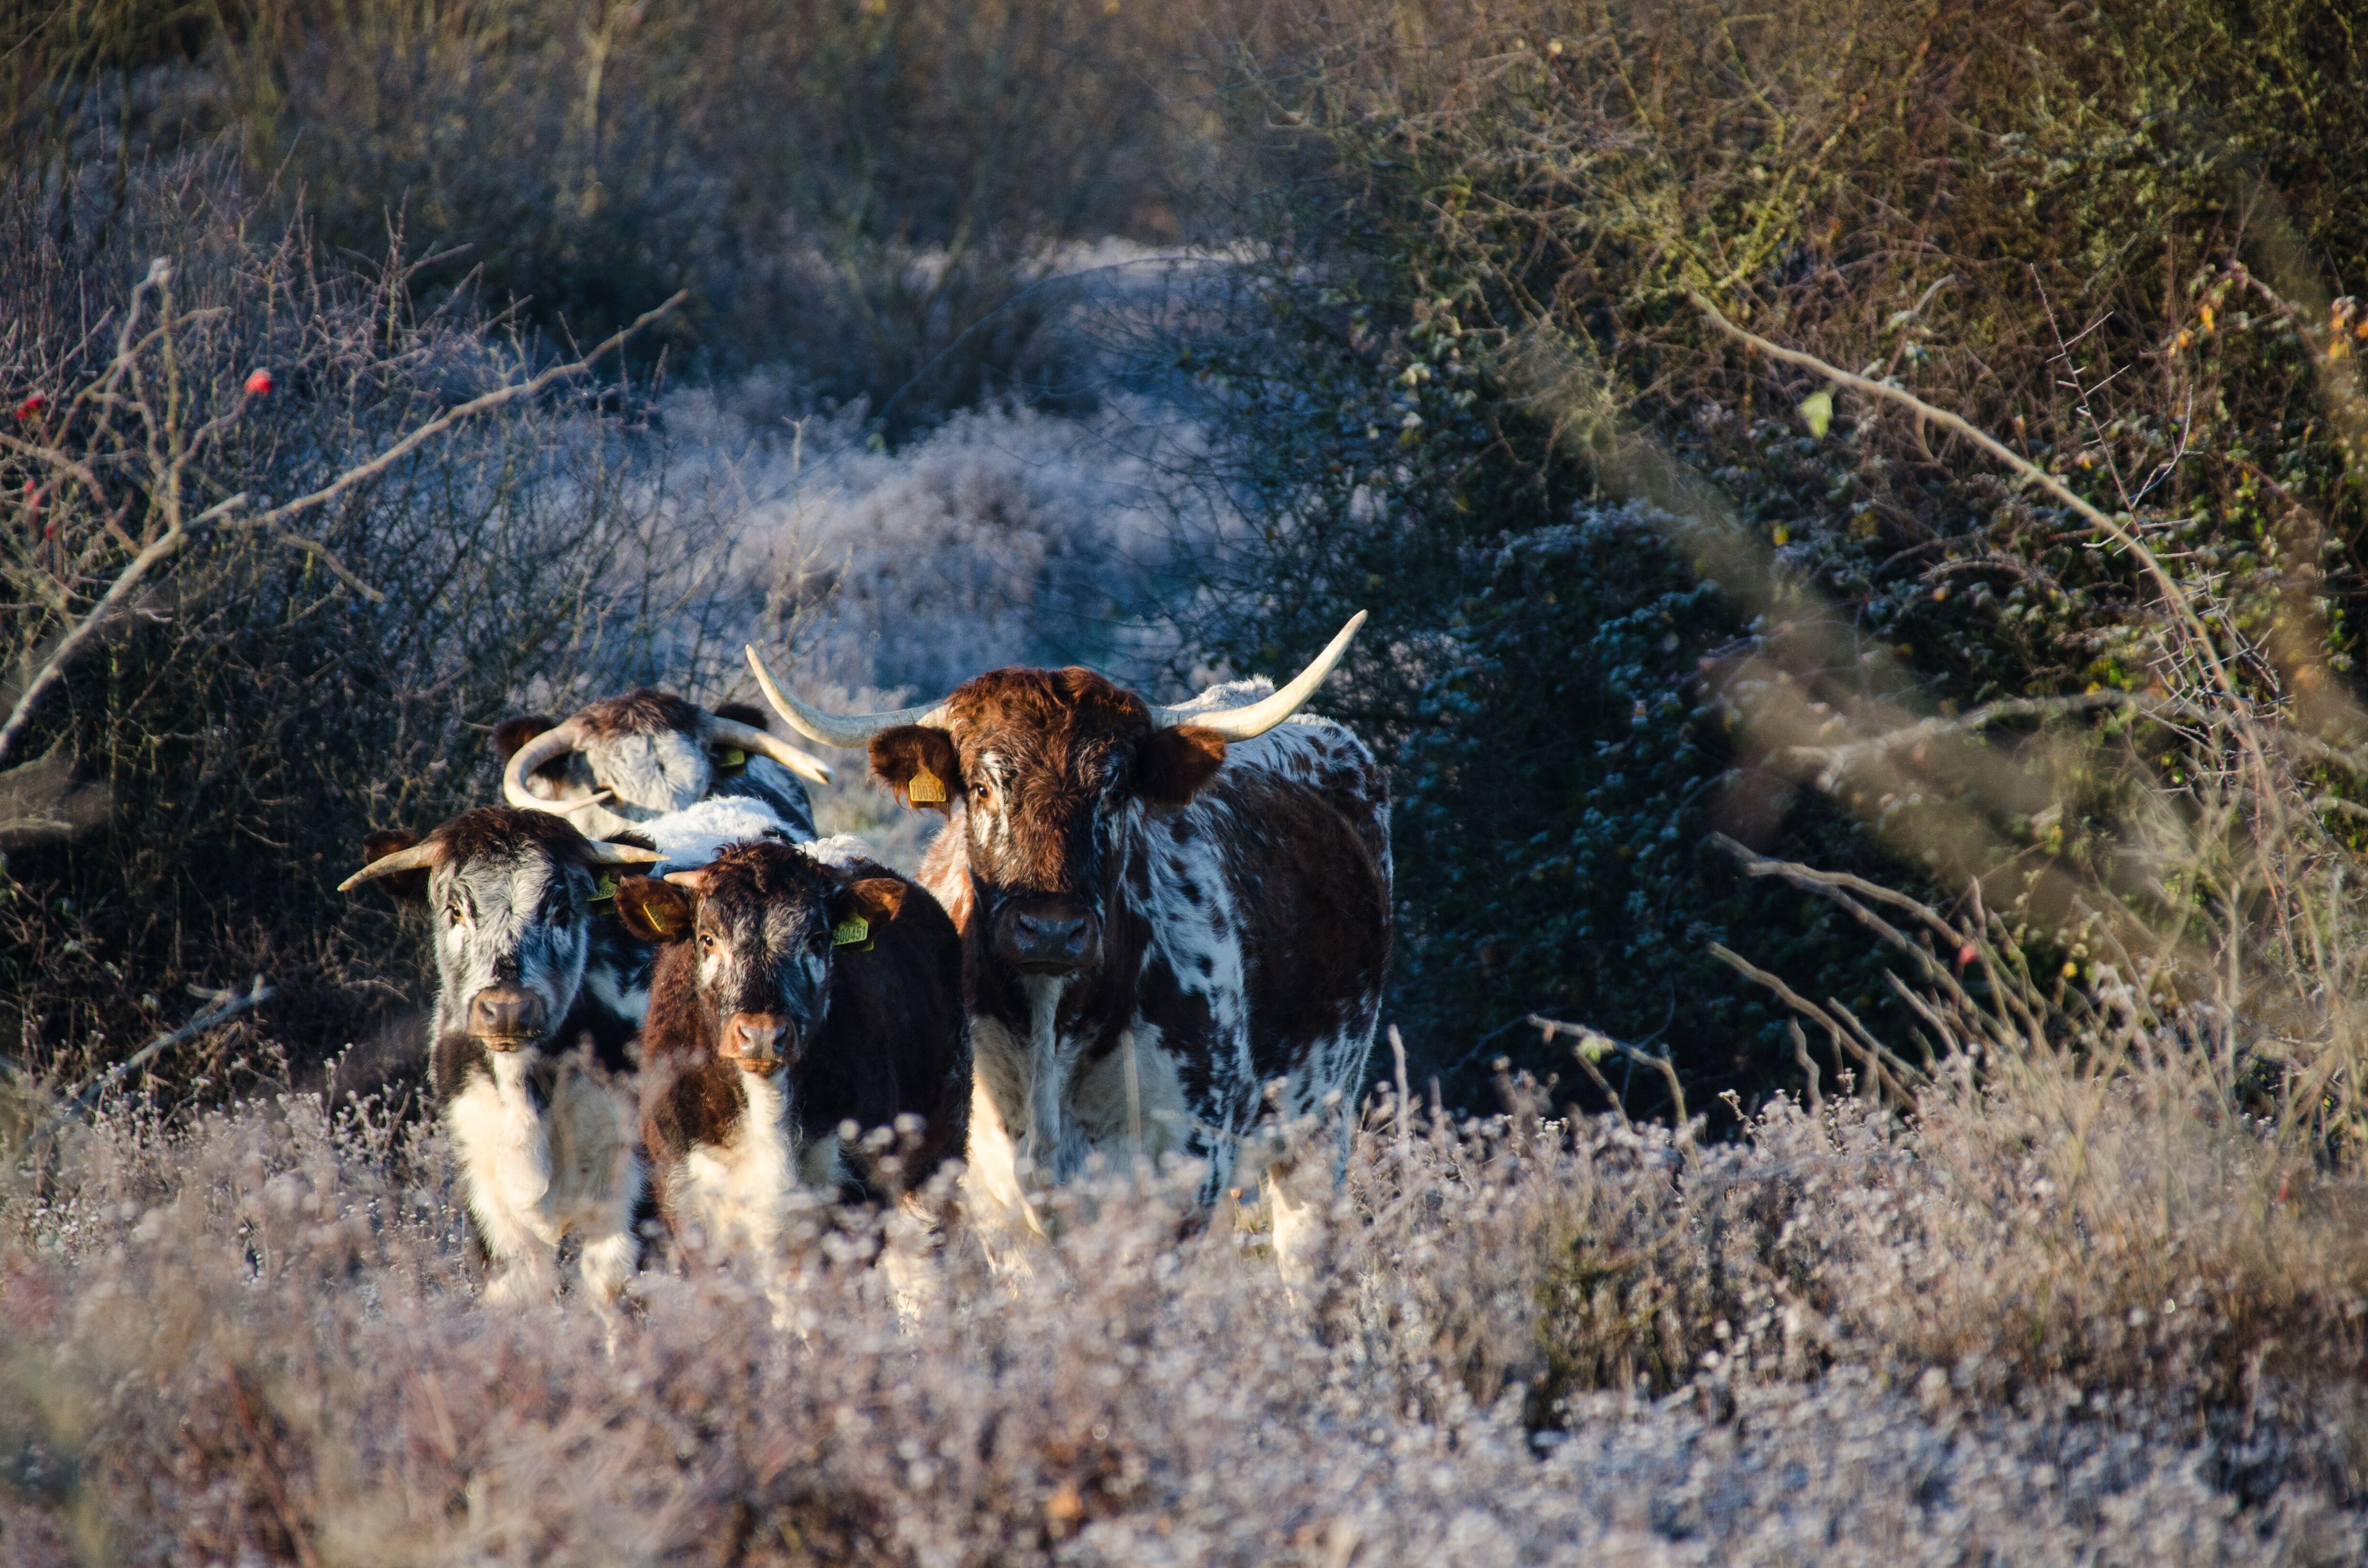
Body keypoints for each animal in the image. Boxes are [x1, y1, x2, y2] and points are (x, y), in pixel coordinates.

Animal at [340, 807, 664, 1316]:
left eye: (561, 910)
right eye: (455, 910)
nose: (509, 1008)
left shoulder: (630, 1193)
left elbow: (618, 1294)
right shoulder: (490, 1202)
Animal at [610, 837, 969, 1305]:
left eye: (816, 940)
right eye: (708, 939)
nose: (763, 1034)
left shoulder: (858, 1200)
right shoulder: (683, 1198)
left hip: (937, 1158)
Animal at [745, 616, 1390, 1285]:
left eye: (1114, 790)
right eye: (981, 787)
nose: (1051, 930)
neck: (1050, 1033)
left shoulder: (1183, 1180)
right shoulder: (994, 1198)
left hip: (1320, 1126)